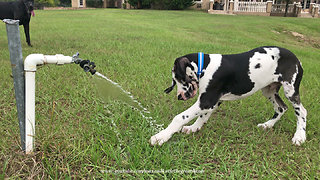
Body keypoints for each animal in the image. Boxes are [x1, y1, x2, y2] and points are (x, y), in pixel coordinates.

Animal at [151, 46, 308, 146]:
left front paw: (161, 136)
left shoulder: (206, 100)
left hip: (290, 90)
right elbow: (202, 117)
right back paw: (267, 125)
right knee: (281, 108)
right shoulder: (213, 101)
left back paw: (299, 136)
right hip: (268, 90)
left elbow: (180, 117)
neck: (205, 66)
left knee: (301, 111)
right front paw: (194, 128)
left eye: (177, 78)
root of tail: (298, 60)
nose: (179, 96)